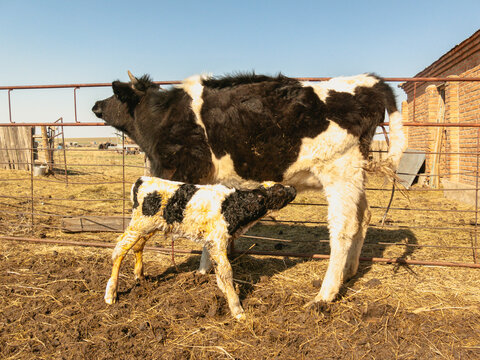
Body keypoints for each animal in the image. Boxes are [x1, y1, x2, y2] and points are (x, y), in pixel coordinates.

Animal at [91, 69, 404, 304]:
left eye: (116, 95)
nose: (95, 105)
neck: (163, 116)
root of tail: (371, 82)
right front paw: (205, 271)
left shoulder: (190, 173)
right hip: (355, 176)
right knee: (364, 217)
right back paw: (348, 273)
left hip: (340, 172)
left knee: (343, 229)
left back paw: (325, 294)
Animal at [103, 176, 294, 320]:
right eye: (279, 190)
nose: (293, 188)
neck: (232, 206)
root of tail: (142, 179)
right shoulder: (217, 240)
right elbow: (226, 270)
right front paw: (237, 309)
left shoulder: (212, 241)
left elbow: (211, 264)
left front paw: (221, 288)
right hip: (138, 225)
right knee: (119, 250)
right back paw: (111, 293)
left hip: (151, 226)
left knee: (138, 245)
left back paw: (140, 275)